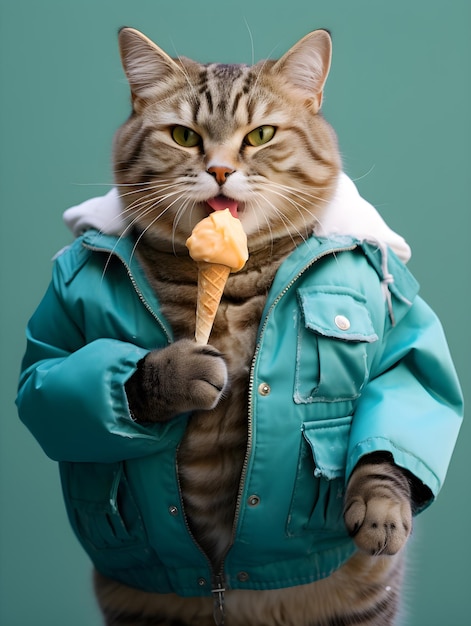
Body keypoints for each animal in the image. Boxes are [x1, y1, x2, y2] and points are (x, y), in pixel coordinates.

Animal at [86, 26, 430, 624]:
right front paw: (181, 370)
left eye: (260, 135)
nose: (221, 170)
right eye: (184, 135)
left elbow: (394, 413)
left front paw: (381, 505)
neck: (229, 283)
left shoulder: (395, 343)